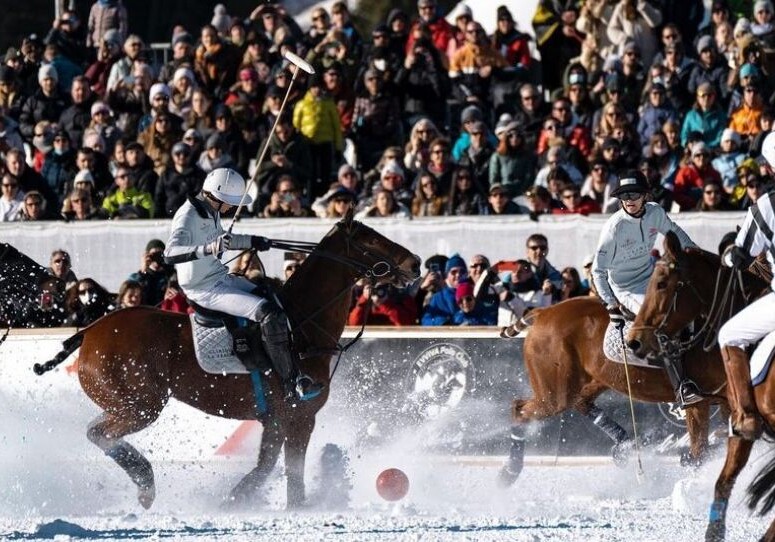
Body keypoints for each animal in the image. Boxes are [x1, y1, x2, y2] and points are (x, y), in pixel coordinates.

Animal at [35, 211, 422, 510]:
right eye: (371, 240)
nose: (416, 264)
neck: (300, 323)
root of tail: (89, 332)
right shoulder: (295, 415)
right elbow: (278, 467)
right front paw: (237, 501)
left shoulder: (283, 420)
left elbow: (279, 469)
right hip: (140, 404)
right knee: (98, 434)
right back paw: (146, 485)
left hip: (124, 402)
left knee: (97, 432)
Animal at [504, 232, 764, 486]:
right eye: (659, 283)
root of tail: (543, 313)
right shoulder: (697, 401)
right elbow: (701, 451)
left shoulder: (726, 400)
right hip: (554, 392)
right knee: (520, 409)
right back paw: (508, 472)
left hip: (595, 379)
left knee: (580, 402)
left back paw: (625, 446)